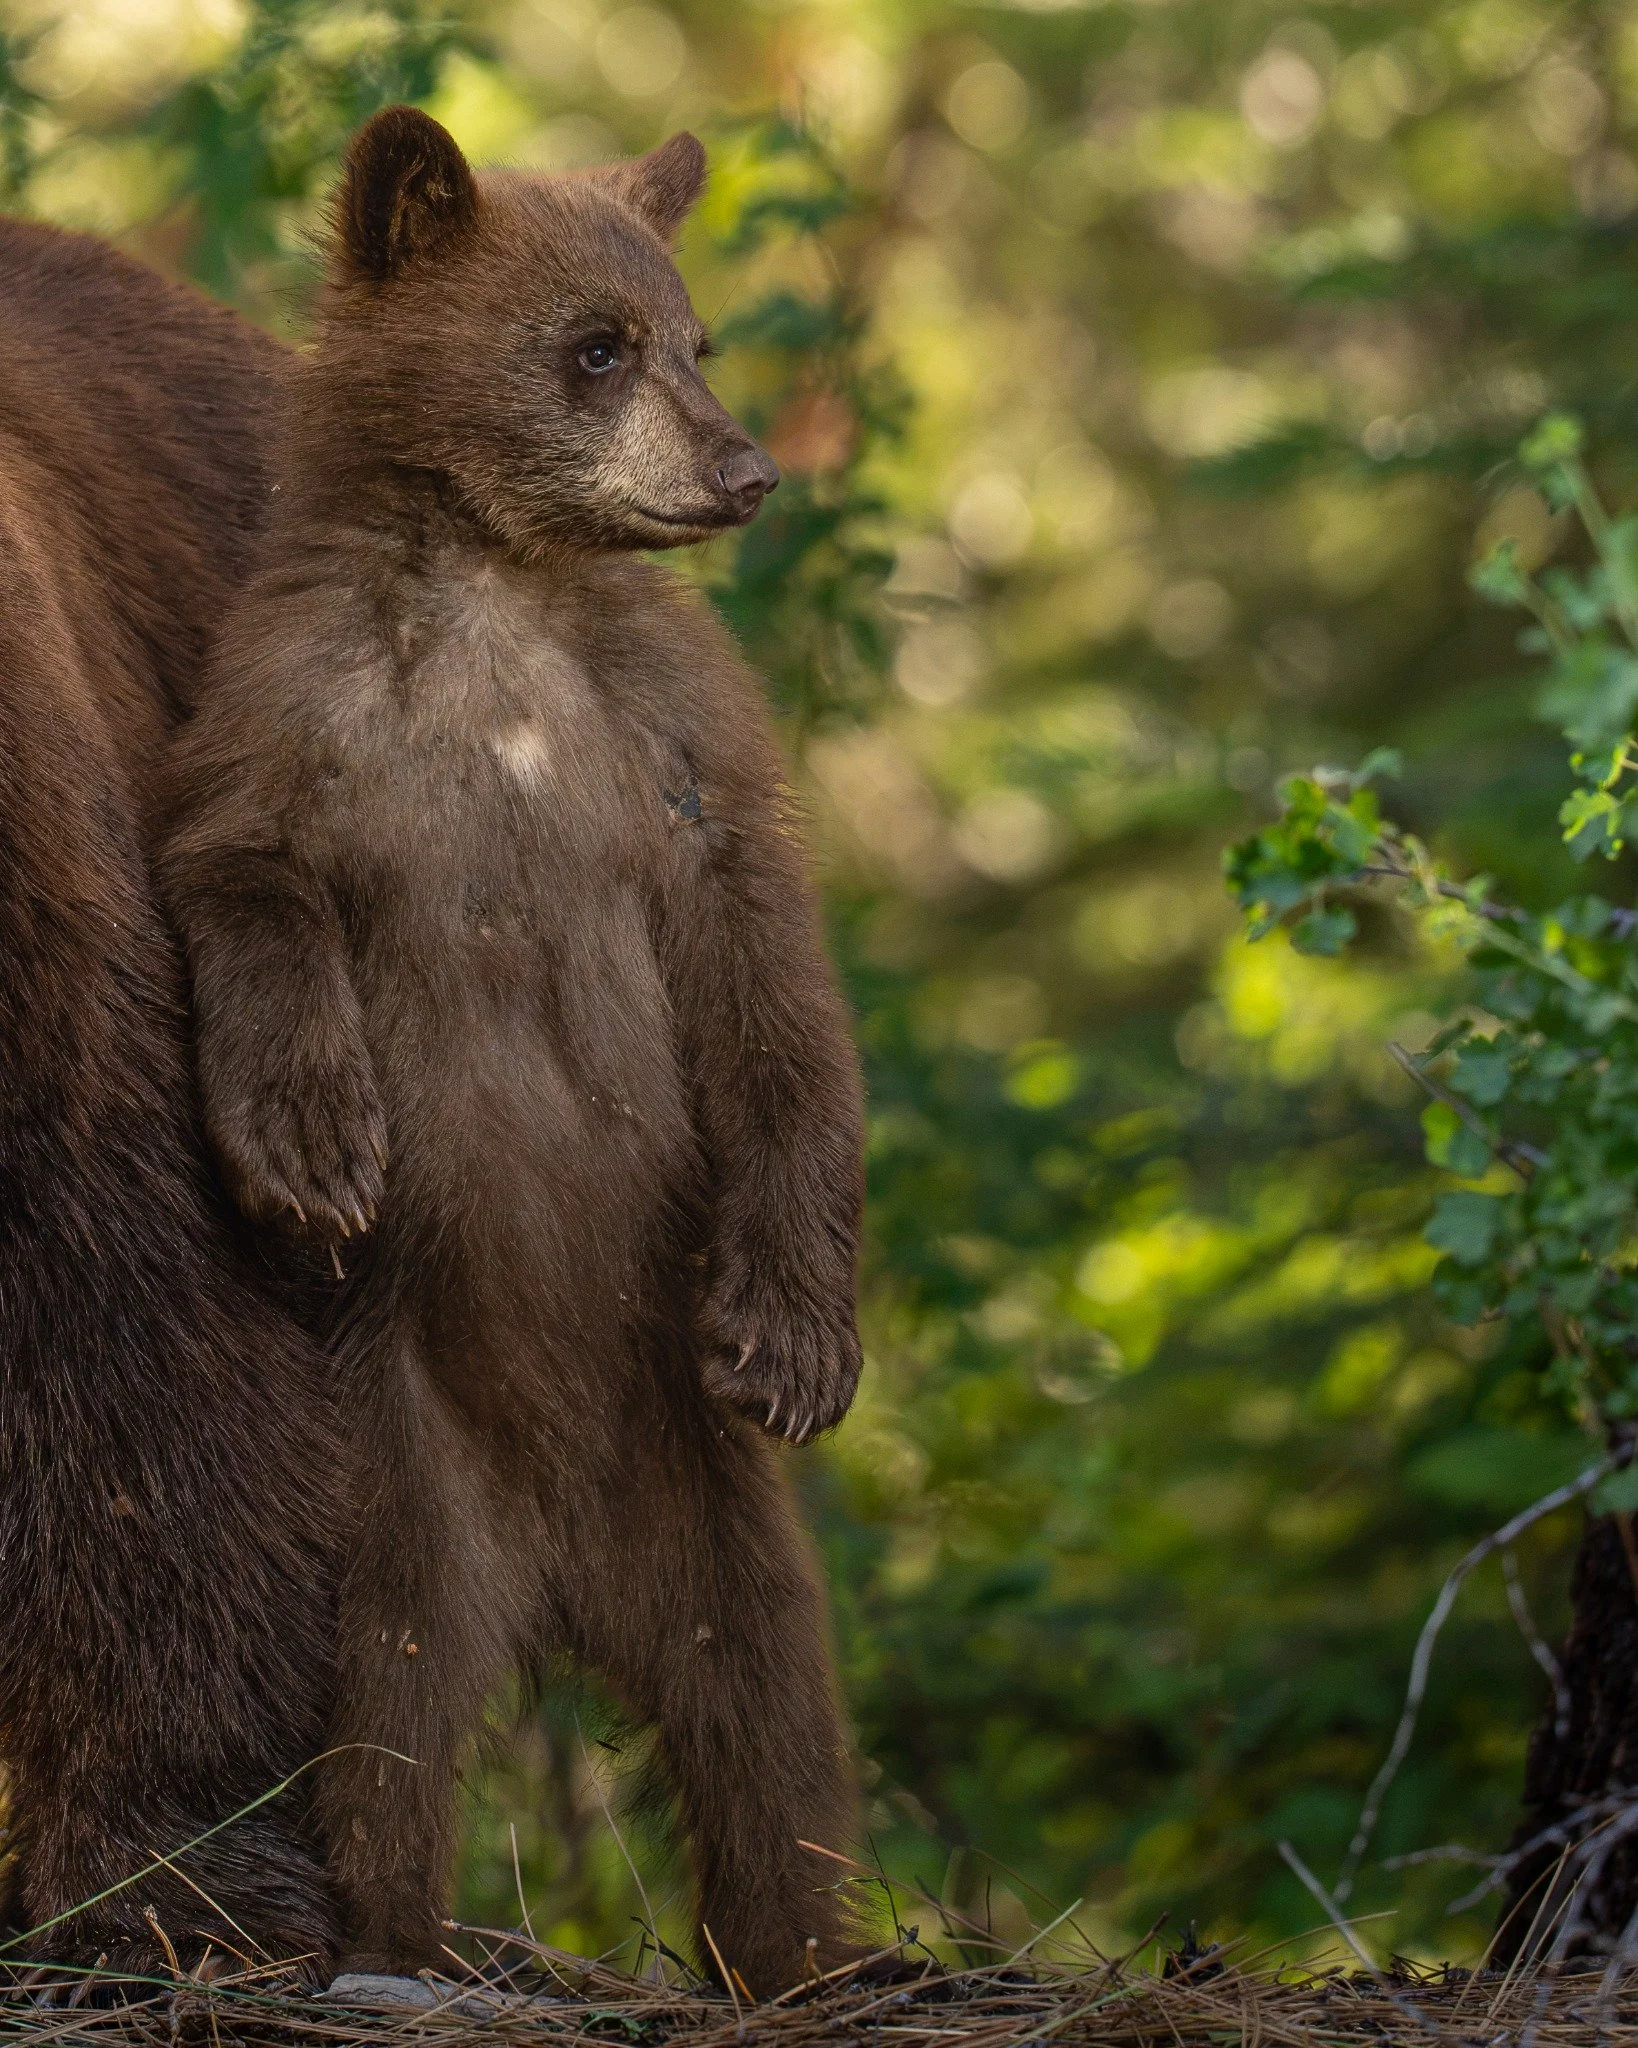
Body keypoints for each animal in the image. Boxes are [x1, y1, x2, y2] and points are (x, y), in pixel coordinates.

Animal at [158, 109, 869, 1995]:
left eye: (694, 335)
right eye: (594, 345)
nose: (747, 472)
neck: (502, 584)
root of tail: (563, 1573)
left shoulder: (674, 739)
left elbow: (770, 982)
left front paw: (803, 1325)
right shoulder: (294, 697)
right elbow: (239, 873)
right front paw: (315, 1143)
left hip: (704, 1477)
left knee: (772, 1711)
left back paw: (804, 1950)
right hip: (400, 1484)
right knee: (386, 1722)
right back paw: (387, 1939)